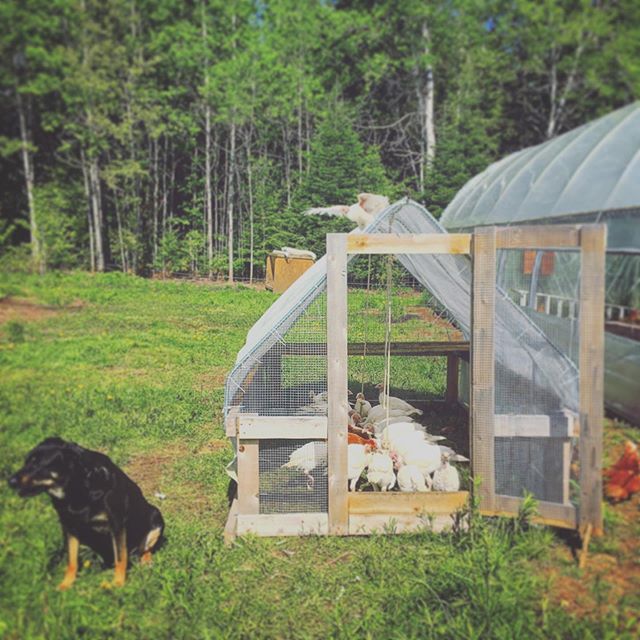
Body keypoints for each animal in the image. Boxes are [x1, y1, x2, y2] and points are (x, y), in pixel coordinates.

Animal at [8, 438, 164, 588]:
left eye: (37, 464)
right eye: (26, 462)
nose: (10, 481)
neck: (77, 490)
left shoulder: (117, 524)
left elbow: (120, 558)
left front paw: (118, 584)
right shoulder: (69, 526)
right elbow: (71, 560)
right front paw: (65, 585)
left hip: (155, 516)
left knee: (145, 548)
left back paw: (146, 560)